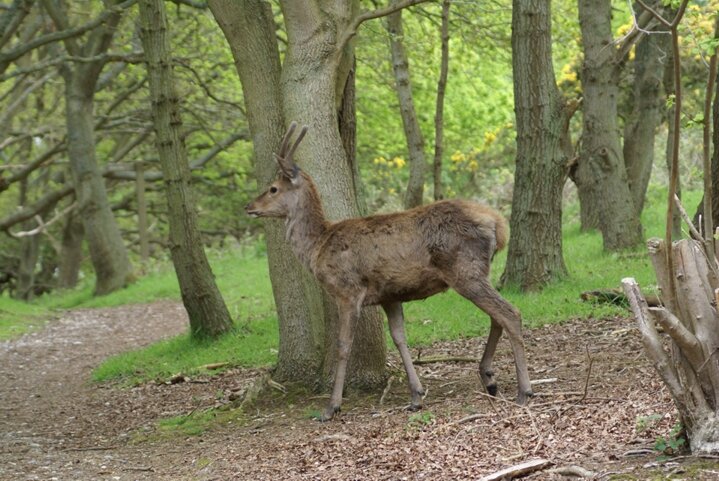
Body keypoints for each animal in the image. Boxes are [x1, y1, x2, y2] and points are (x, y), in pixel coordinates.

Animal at [248, 123, 536, 420]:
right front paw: (416, 396)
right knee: (497, 316)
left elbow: (344, 345)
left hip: (465, 270)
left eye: (272, 189)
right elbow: (399, 338)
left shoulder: (348, 291)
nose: (250, 207)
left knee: (510, 313)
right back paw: (489, 378)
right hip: (477, 272)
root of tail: (499, 226)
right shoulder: (389, 295)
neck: (318, 247)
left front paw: (331, 406)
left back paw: (524, 391)